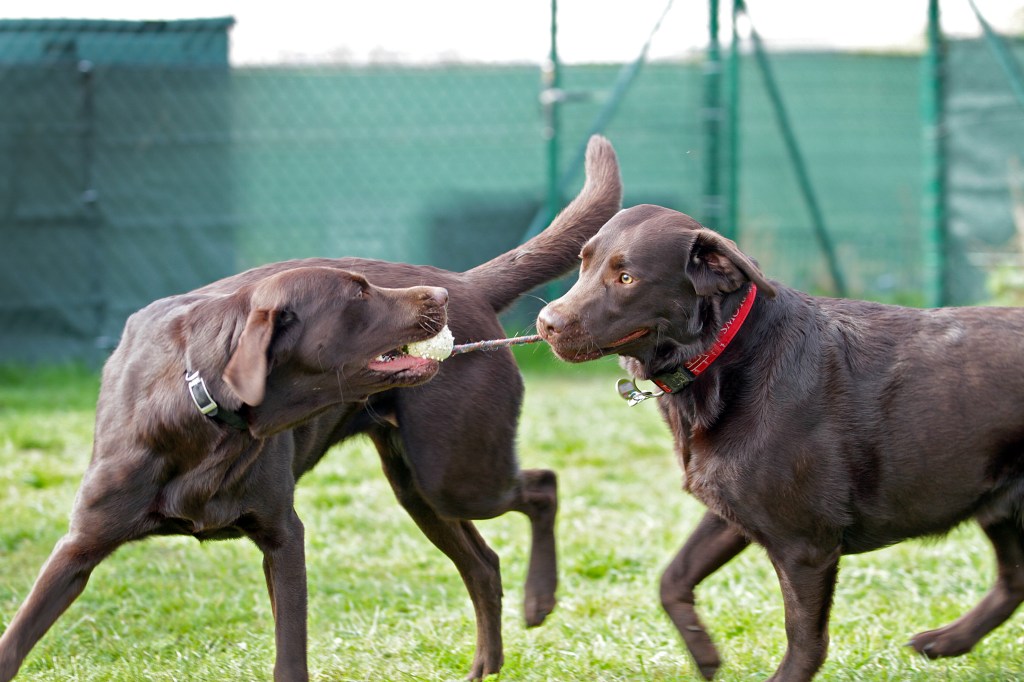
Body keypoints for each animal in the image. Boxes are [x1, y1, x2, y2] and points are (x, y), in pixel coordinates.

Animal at [0, 134, 622, 679]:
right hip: (420, 487)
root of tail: (467, 281)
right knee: (484, 563)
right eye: (357, 294)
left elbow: (290, 653)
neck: (204, 415)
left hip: (455, 473)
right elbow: (15, 640)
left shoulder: (284, 536)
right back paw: (485, 668)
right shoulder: (79, 546)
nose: (439, 300)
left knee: (541, 487)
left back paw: (539, 599)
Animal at [536, 202, 1024, 679]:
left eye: (626, 278)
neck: (726, 354)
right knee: (1013, 581)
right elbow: (672, 578)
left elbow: (806, 642)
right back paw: (948, 641)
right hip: (1001, 508)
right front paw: (704, 655)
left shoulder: (805, 546)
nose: (545, 323)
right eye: (583, 263)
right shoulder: (734, 511)